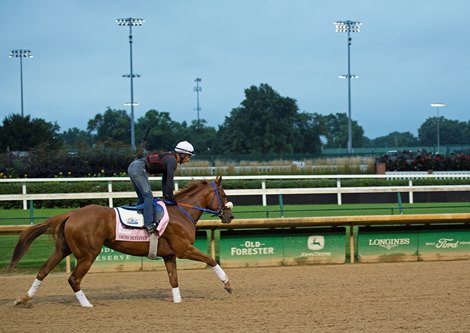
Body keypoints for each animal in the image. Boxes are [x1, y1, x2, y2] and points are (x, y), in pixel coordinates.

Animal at [6, 176, 234, 306]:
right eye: (223, 194)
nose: (230, 216)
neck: (181, 211)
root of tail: (72, 214)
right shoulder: (183, 249)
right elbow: (211, 260)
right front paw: (227, 284)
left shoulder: (169, 255)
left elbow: (174, 279)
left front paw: (178, 301)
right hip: (88, 254)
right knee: (73, 279)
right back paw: (86, 304)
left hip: (63, 249)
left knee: (43, 270)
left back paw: (24, 298)